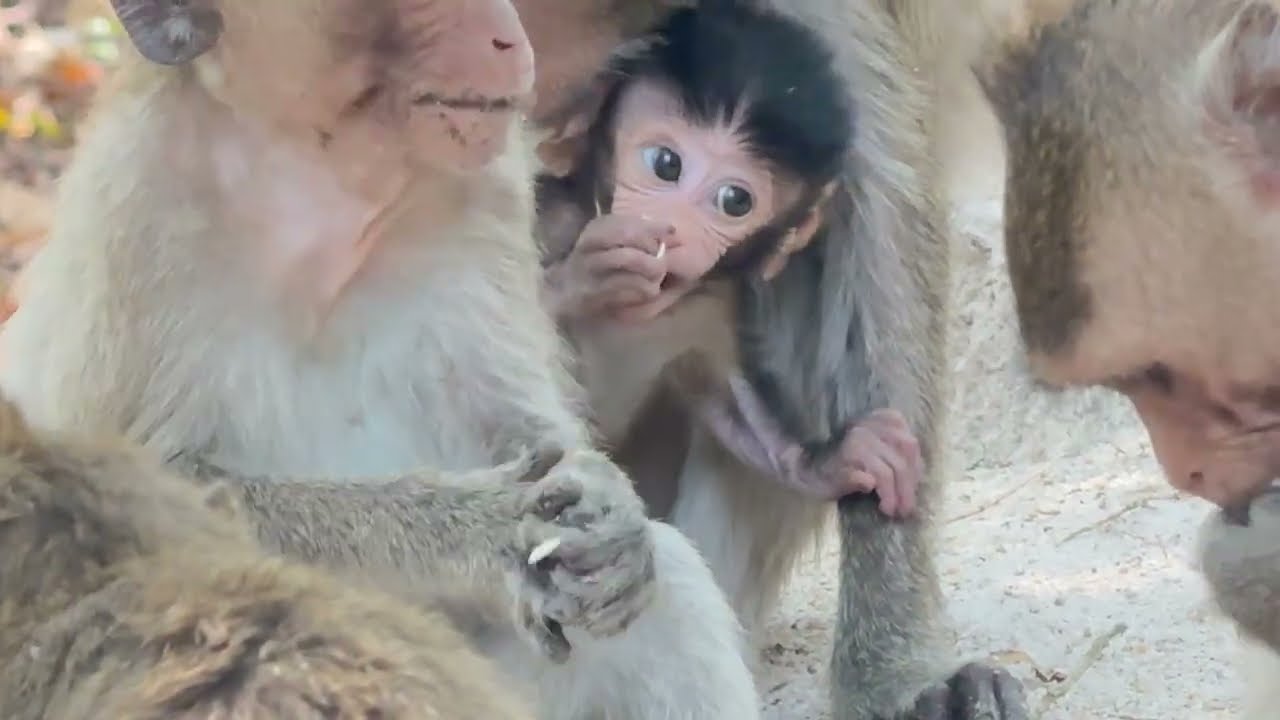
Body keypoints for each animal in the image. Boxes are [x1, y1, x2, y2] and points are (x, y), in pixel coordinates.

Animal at [534, 1, 924, 521]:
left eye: (734, 201)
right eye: (666, 163)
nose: (672, 226)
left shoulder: (711, 308)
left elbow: (733, 408)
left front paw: (838, 460)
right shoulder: (556, 220)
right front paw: (588, 273)